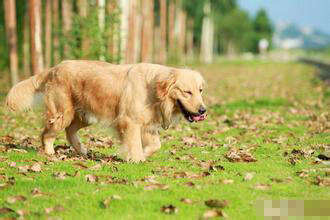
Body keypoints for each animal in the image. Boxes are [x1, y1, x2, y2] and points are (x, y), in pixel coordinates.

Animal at [5, 60, 206, 162]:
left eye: (200, 90)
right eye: (187, 92)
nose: (203, 110)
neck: (153, 89)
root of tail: (54, 68)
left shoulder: (146, 124)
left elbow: (156, 145)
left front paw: (143, 154)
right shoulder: (129, 121)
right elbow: (134, 144)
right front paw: (137, 158)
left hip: (85, 116)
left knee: (70, 131)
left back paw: (81, 150)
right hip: (63, 113)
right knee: (47, 133)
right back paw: (49, 152)